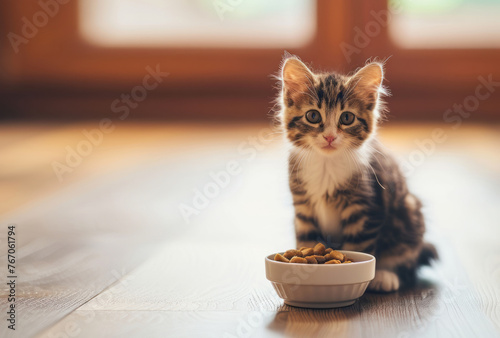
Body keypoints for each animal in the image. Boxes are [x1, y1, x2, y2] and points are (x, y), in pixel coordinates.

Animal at [278, 54, 438, 290]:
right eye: (313, 116)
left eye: (347, 118)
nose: (329, 137)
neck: (327, 163)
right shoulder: (303, 208)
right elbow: (307, 241)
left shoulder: (365, 208)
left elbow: (359, 248)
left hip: (409, 215)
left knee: (408, 264)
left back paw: (385, 276)